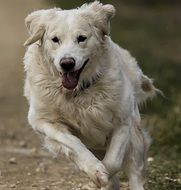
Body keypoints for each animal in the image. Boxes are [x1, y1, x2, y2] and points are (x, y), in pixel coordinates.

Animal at [24, 1, 156, 190]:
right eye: (55, 39)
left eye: (82, 38)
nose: (67, 63)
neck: (77, 92)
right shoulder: (43, 121)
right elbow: (73, 143)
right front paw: (95, 171)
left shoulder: (123, 120)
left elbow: (113, 162)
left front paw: (103, 174)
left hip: (136, 139)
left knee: (135, 171)